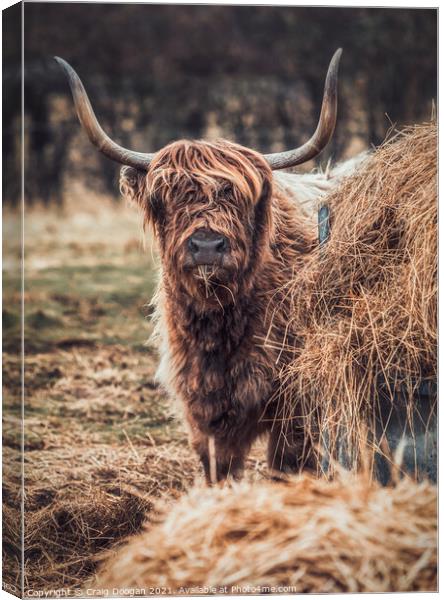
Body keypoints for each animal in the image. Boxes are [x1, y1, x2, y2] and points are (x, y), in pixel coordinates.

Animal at [56, 50, 344, 482]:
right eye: (168, 196)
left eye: (239, 196)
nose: (207, 245)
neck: (220, 324)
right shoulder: (203, 404)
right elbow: (218, 468)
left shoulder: (295, 404)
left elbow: (287, 465)